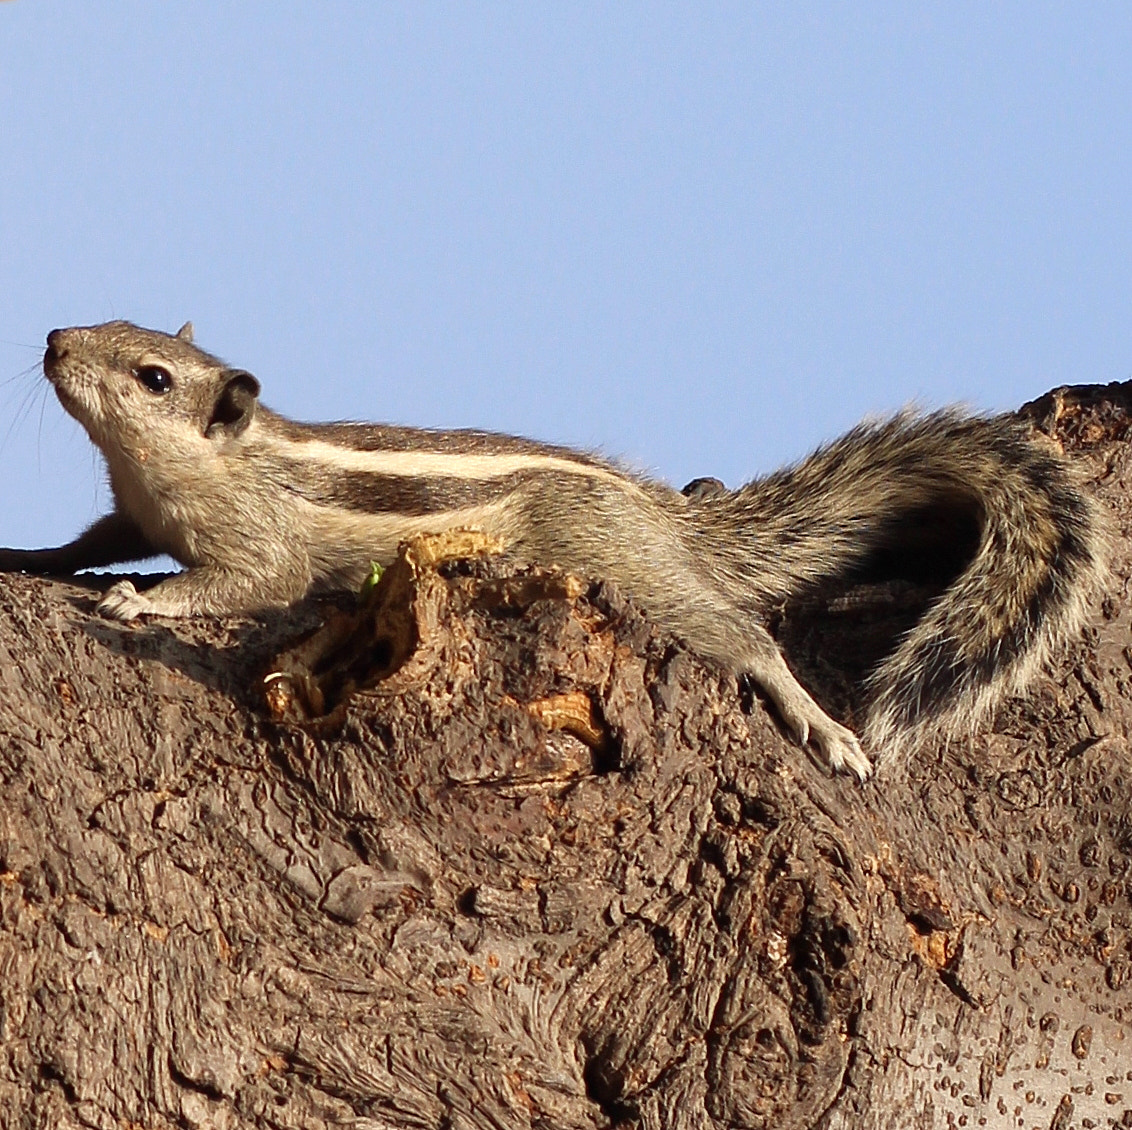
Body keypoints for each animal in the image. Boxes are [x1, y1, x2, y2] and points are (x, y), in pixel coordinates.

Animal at [0, 319, 1104, 778]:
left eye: (151, 376)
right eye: (108, 317)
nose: (53, 337)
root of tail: (666, 515)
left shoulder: (256, 542)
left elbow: (241, 582)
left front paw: (143, 602)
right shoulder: (131, 516)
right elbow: (92, 537)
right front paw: (34, 554)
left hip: (631, 572)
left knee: (744, 634)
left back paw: (821, 726)